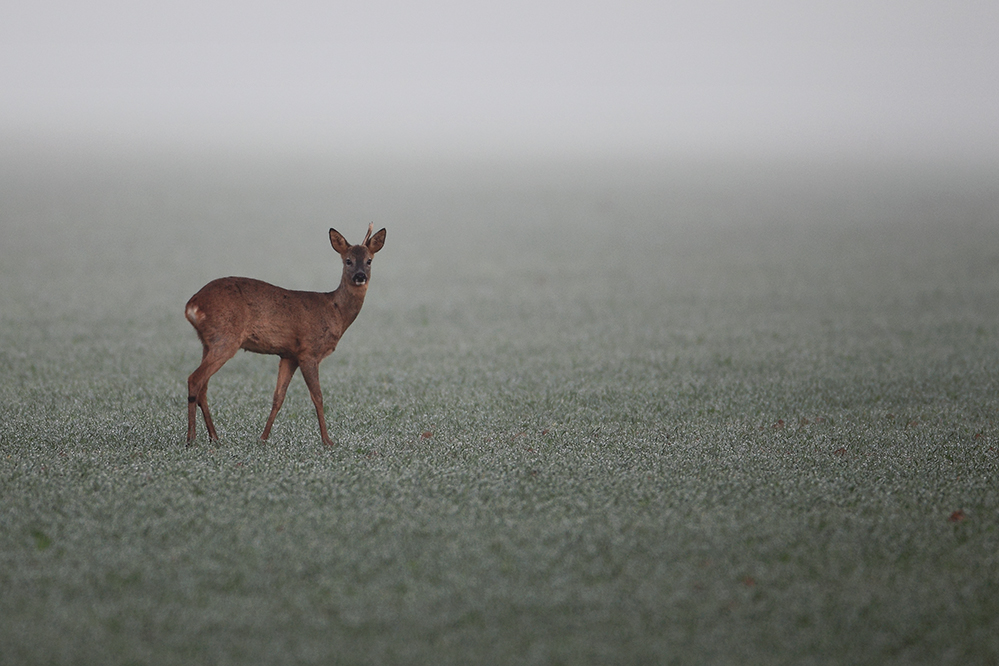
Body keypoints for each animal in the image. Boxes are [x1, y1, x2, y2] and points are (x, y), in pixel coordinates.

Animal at [184, 223, 386, 446]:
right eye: (348, 260)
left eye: (369, 261)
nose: (360, 276)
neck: (336, 312)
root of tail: (192, 305)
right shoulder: (308, 351)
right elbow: (318, 396)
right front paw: (327, 440)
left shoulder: (289, 355)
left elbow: (278, 397)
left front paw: (263, 438)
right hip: (225, 338)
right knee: (195, 379)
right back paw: (191, 438)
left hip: (207, 342)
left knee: (203, 387)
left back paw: (214, 436)